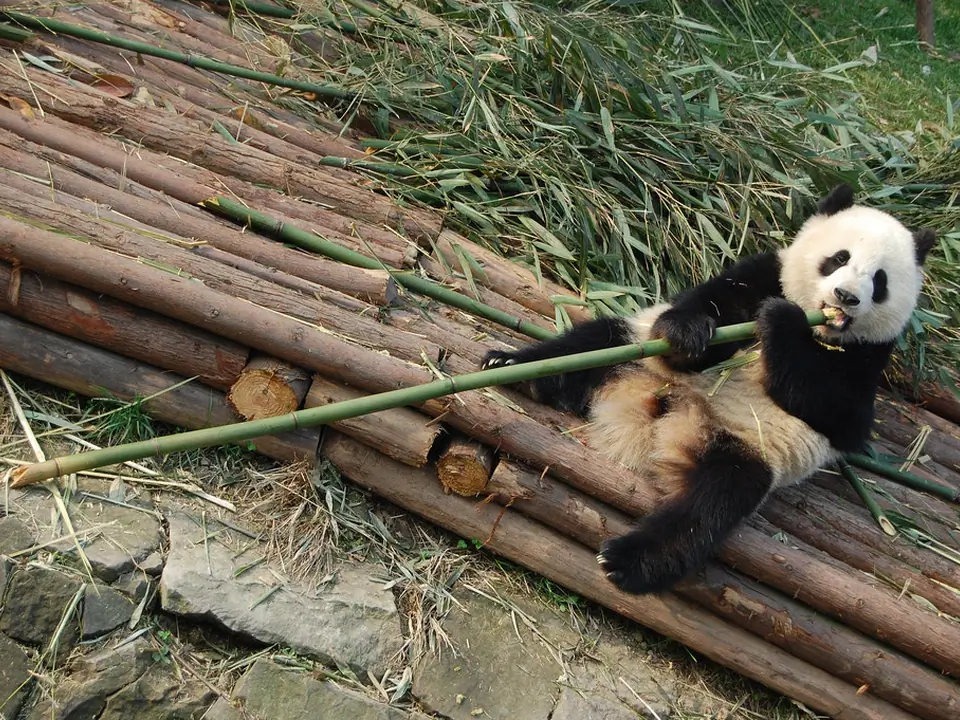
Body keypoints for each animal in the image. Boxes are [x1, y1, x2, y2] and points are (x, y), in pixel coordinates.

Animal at [482, 184, 936, 595]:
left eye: (879, 281)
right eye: (839, 259)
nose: (845, 297)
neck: (822, 331)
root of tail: (659, 417)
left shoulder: (869, 356)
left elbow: (840, 416)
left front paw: (782, 320)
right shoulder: (764, 272)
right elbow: (705, 306)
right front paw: (692, 335)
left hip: (744, 448)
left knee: (710, 505)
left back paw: (626, 562)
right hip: (636, 353)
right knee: (592, 343)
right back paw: (513, 367)